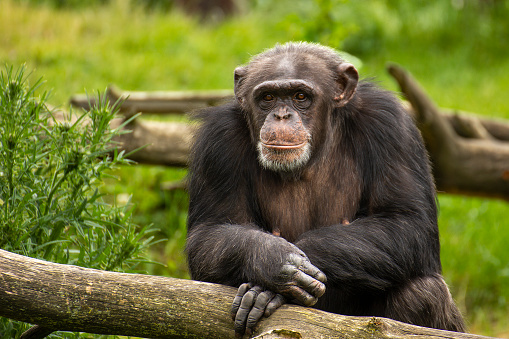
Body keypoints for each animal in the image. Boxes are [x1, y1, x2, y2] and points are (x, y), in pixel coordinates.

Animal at [186, 41, 464, 336]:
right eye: (268, 97)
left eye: (300, 96)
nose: (281, 115)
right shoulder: (218, 140)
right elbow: (209, 233)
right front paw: (274, 261)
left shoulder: (391, 125)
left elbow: (407, 220)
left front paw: (272, 285)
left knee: (424, 292)